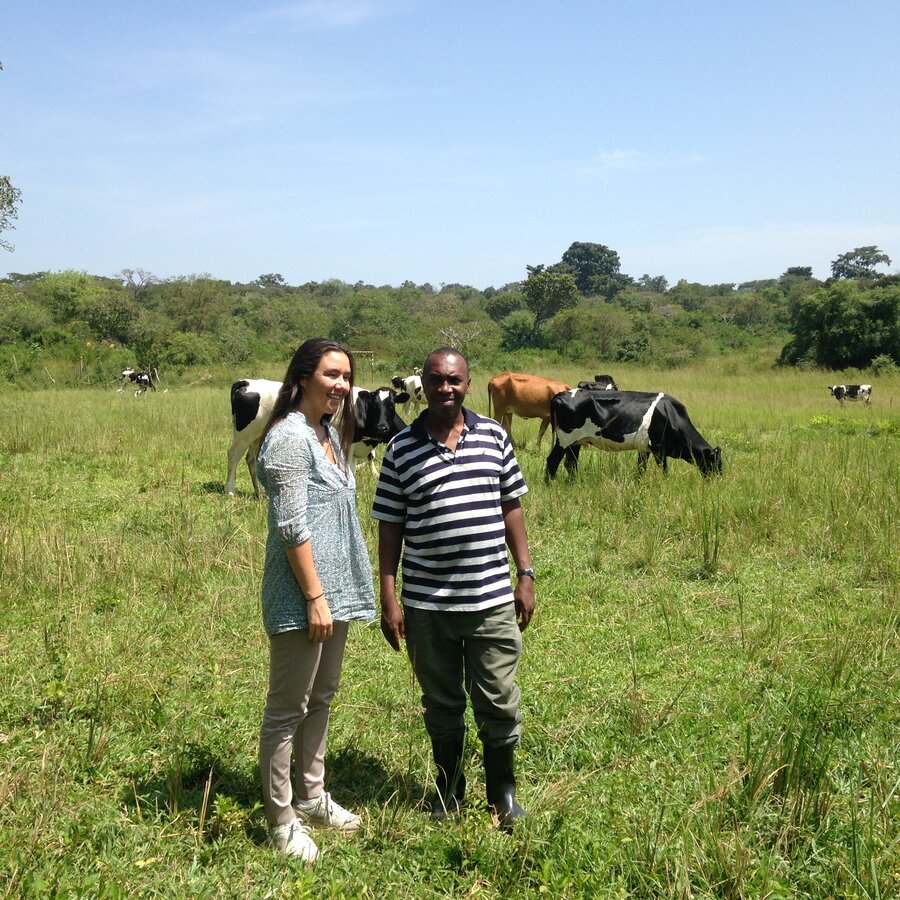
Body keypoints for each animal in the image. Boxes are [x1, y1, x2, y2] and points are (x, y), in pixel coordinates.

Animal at [225, 376, 412, 496]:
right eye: (375, 405)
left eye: (392, 405)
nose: (382, 427)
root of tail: (246, 382)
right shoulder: (348, 444)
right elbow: (350, 470)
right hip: (243, 433)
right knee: (233, 455)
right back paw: (230, 490)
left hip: (256, 435)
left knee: (251, 458)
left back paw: (261, 492)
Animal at [540, 390, 724, 482]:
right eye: (716, 463)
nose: (719, 481)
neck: (670, 414)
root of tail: (559, 395)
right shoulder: (658, 447)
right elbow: (664, 470)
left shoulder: (644, 448)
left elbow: (640, 469)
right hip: (565, 438)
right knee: (553, 461)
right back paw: (551, 485)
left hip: (577, 441)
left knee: (570, 463)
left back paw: (574, 483)